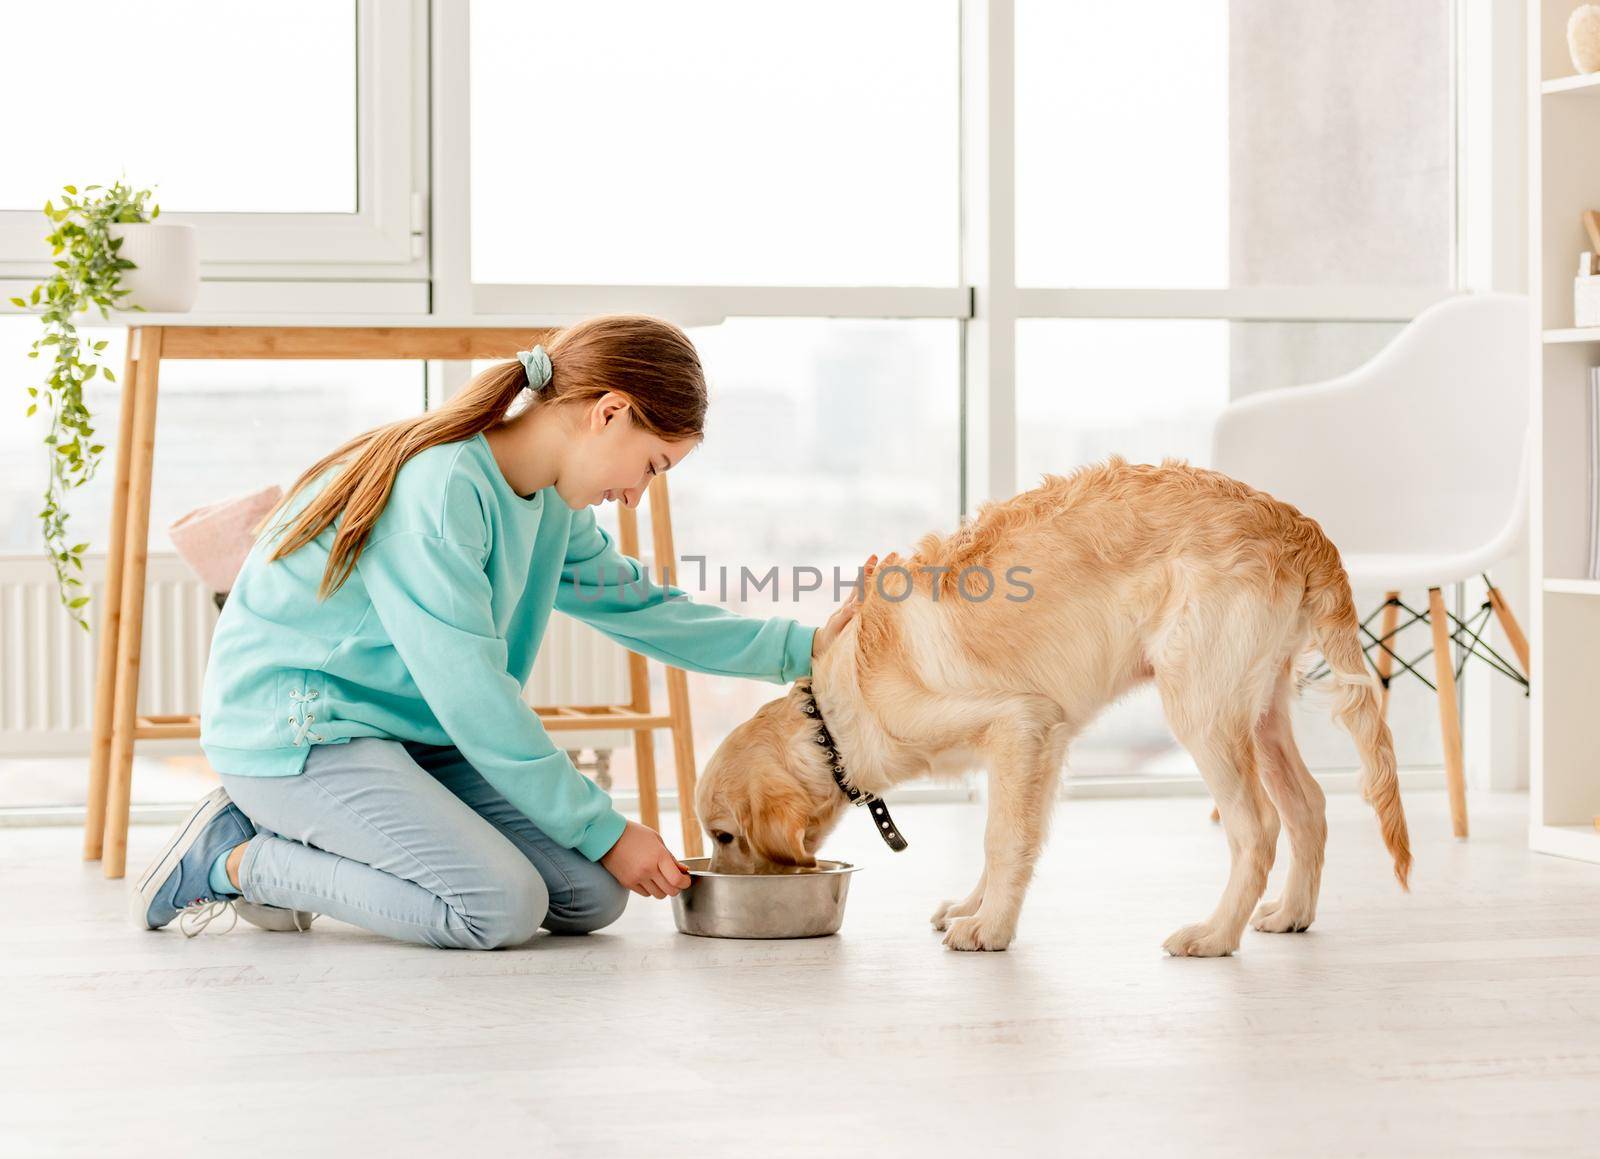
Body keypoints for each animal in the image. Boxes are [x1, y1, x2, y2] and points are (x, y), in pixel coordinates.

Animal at [700, 457, 1414, 954]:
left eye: (724, 835)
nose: (712, 880)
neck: (832, 718)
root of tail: (1296, 523)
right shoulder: (1042, 743)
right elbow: (1016, 835)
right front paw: (975, 908)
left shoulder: (1019, 724)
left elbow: (1001, 838)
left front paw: (989, 928)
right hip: (1257, 706)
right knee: (1309, 805)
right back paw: (1291, 913)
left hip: (1201, 707)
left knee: (1258, 826)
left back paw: (1214, 935)